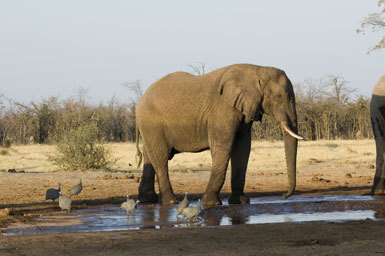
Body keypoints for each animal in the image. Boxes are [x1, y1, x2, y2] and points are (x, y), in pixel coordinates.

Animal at [134, 63, 304, 206]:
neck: (257, 69)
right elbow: (223, 147)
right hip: (152, 124)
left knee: (150, 157)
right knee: (161, 158)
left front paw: (240, 202)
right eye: (280, 97)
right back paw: (171, 202)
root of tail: (139, 103)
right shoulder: (222, 110)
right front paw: (211, 204)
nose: (284, 196)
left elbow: (243, 149)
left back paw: (147, 200)